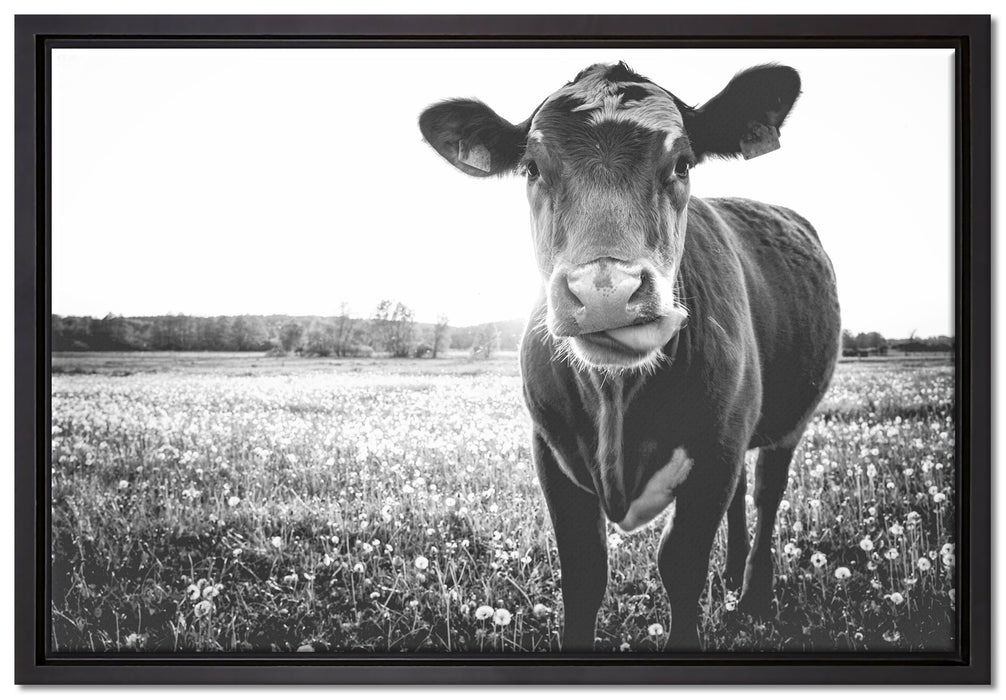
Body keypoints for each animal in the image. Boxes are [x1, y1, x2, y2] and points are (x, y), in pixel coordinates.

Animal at [419, 62, 841, 651]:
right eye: (532, 167)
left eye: (682, 162)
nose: (605, 291)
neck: (617, 401)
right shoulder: (551, 453)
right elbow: (583, 572)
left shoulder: (715, 452)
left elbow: (681, 565)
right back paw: (732, 575)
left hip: (786, 423)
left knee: (765, 493)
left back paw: (754, 595)